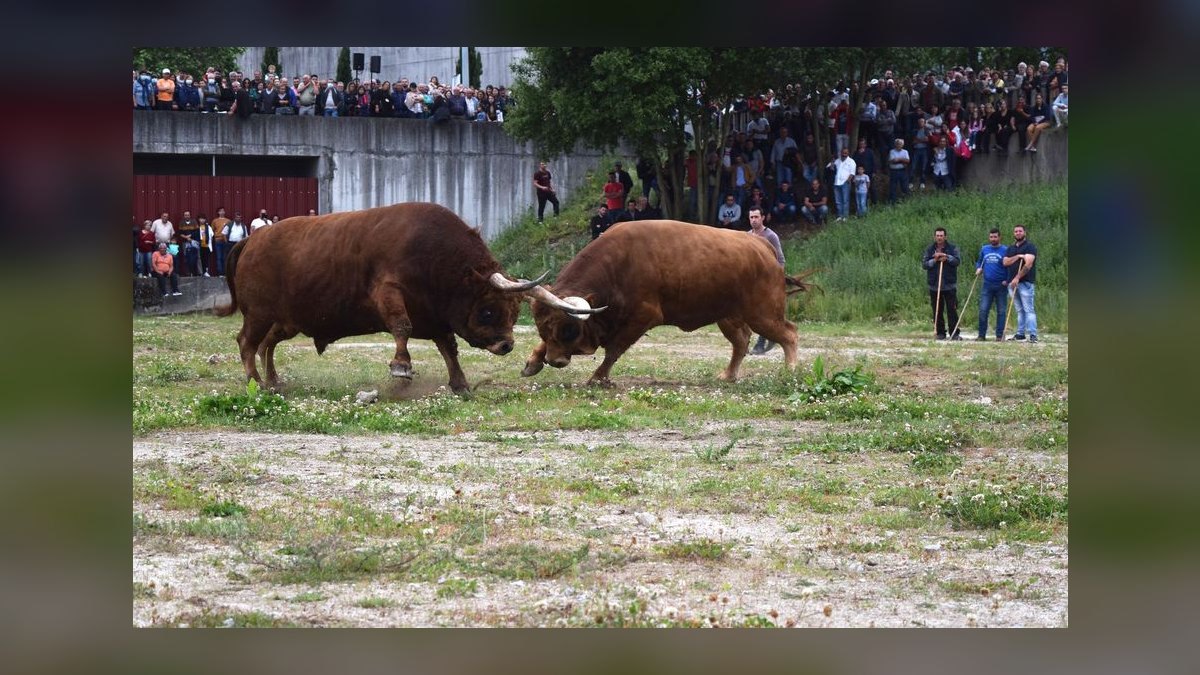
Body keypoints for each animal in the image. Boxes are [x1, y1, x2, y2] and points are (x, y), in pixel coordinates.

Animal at [215, 202, 554, 394]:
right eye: (488, 310)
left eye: (514, 313)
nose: (506, 345)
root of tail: (253, 239)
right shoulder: (389, 292)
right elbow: (401, 326)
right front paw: (401, 367)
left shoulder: (434, 316)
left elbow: (449, 347)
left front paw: (460, 383)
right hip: (259, 314)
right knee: (247, 343)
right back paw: (256, 382)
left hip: (286, 321)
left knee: (266, 344)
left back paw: (273, 380)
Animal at [520, 219, 816, 386]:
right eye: (543, 328)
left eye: (567, 329)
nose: (555, 361)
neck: (619, 263)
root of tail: (764, 248)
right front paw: (533, 362)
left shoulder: (642, 317)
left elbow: (614, 350)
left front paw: (597, 378)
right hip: (728, 317)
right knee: (741, 341)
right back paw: (728, 375)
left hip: (763, 314)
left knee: (789, 333)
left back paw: (790, 370)